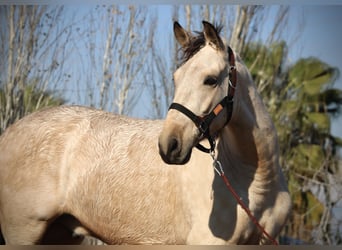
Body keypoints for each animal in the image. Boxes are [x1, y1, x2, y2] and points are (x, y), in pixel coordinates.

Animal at [0, 21, 290, 244]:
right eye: (175, 78)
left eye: (210, 79)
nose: (169, 145)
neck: (254, 181)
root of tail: (8, 134)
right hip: (23, 232)